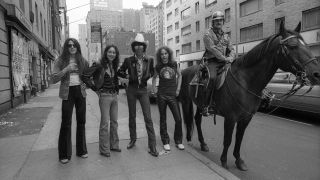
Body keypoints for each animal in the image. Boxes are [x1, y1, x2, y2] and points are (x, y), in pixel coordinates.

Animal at [179, 21, 320, 171]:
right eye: (292, 46)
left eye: (305, 44)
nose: (316, 73)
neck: (246, 82)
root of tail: (185, 70)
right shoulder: (230, 118)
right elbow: (228, 140)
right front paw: (224, 161)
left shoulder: (246, 118)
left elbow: (239, 139)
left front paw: (238, 160)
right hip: (187, 101)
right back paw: (190, 140)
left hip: (200, 105)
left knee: (197, 120)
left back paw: (203, 143)